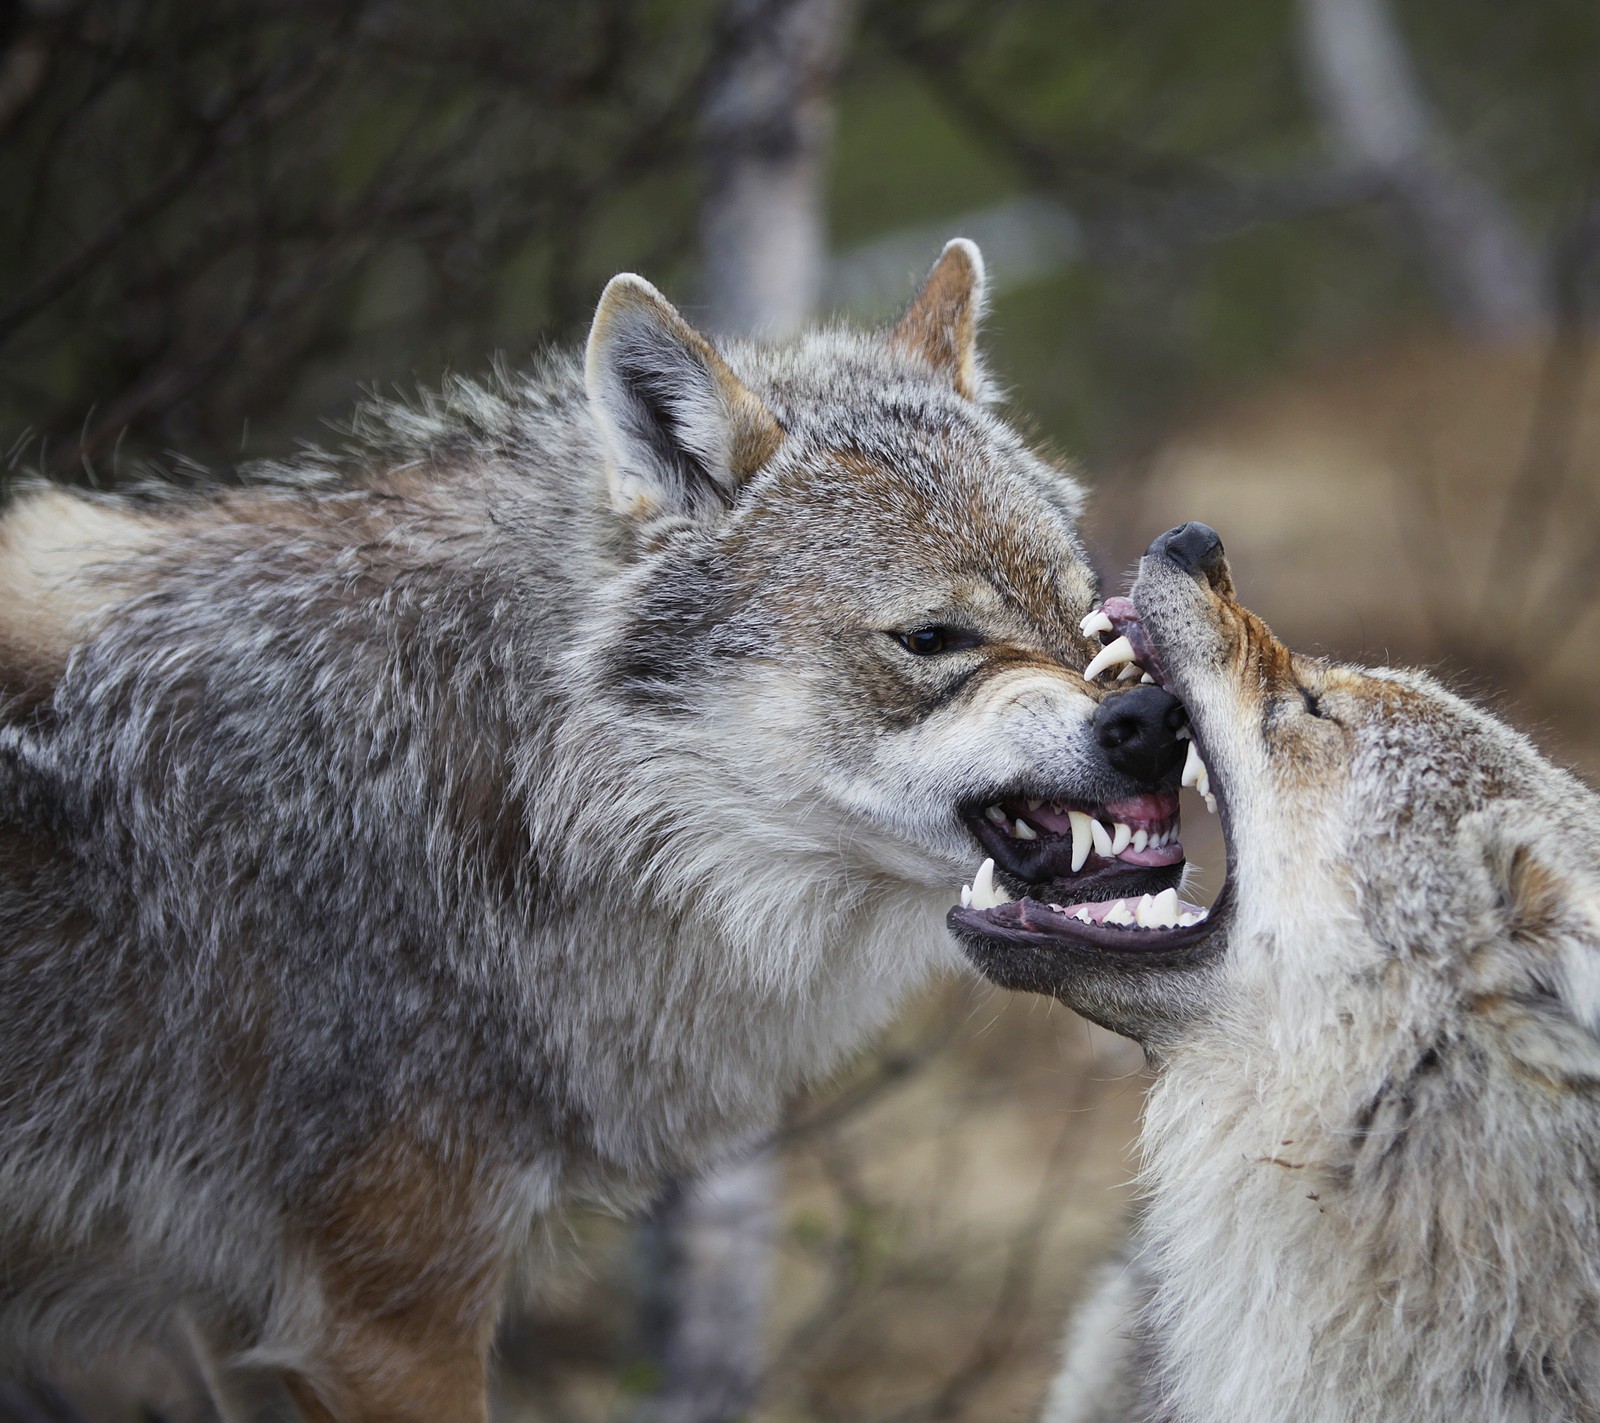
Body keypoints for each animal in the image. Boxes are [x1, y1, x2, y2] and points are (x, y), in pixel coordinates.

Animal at [0, 238, 1190, 1414]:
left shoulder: (242, 1317)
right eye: (933, 637)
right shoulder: (388, 1319)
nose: (1154, 721)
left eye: (1086, 611)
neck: (505, 789)